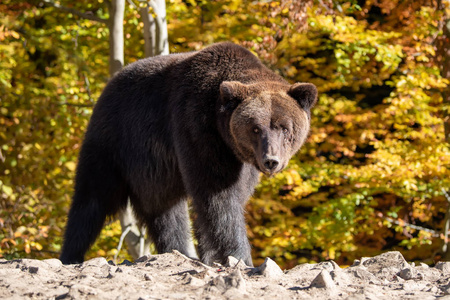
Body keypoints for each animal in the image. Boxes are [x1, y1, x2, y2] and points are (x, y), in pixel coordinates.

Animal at [59, 41, 318, 264]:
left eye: (284, 127)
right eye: (255, 128)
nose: (271, 161)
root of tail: (108, 85)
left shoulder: (241, 160)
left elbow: (230, 198)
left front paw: (211, 255)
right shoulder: (197, 128)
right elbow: (218, 197)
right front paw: (240, 256)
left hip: (155, 173)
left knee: (164, 210)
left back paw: (178, 251)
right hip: (114, 141)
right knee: (92, 197)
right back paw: (71, 254)